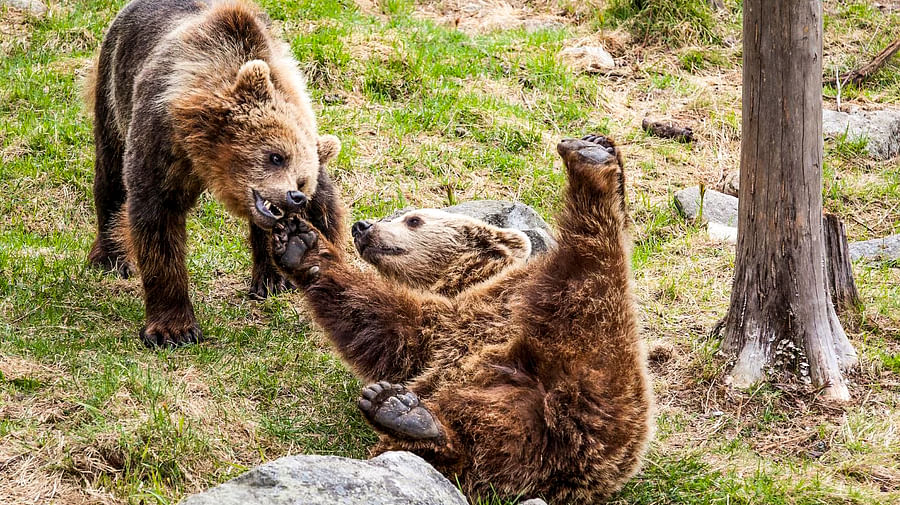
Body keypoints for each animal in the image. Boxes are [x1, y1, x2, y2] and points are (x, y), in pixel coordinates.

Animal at [85, 0, 344, 346]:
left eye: (303, 180)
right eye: (276, 156)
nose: (295, 197)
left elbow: (325, 213)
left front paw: (292, 267)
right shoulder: (162, 140)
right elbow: (157, 219)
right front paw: (173, 329)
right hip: (113, 87)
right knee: (111, 174)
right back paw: (112, 258)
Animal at [268, 136, 652, 502]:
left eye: (414, 219)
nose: (363, 226)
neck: (467, 280)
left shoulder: (480, 309)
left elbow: (389, 316)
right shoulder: (437, 338)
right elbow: (383, 331)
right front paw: (300, 243)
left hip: (600, 362)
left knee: (590, 272)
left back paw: (590, 164)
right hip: (513, 428)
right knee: (472, 447)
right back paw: (404, 413)